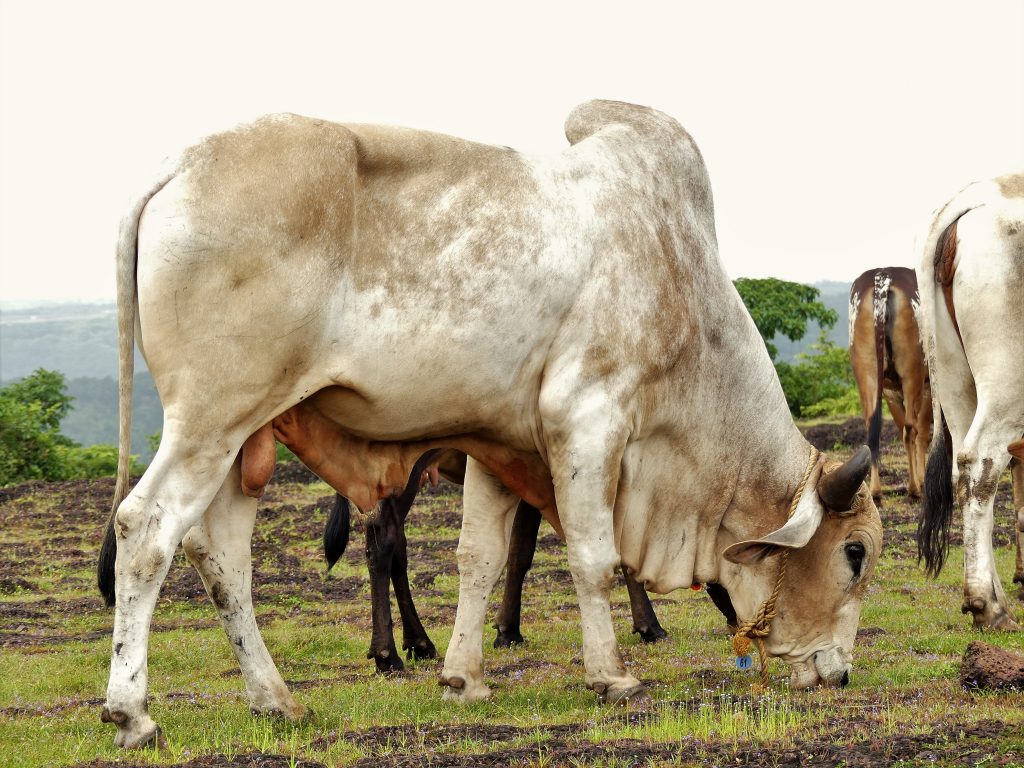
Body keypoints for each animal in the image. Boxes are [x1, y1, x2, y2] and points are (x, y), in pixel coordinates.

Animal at [325, 448, 668, 673]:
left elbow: (519, 550)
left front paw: (506, 629)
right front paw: (649, 624)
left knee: (396, 545)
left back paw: (418, 641)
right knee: (383, 538)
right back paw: (387, 654)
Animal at [848, 267, 932, 500]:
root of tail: (882, 278)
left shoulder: (890, 391)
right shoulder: (928, 388)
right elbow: (923, 433)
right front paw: (923, 479)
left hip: (867, 374)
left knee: (872, 429)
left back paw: (876, 491)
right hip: (912, 373)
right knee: (911, 428)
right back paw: (914, 488)